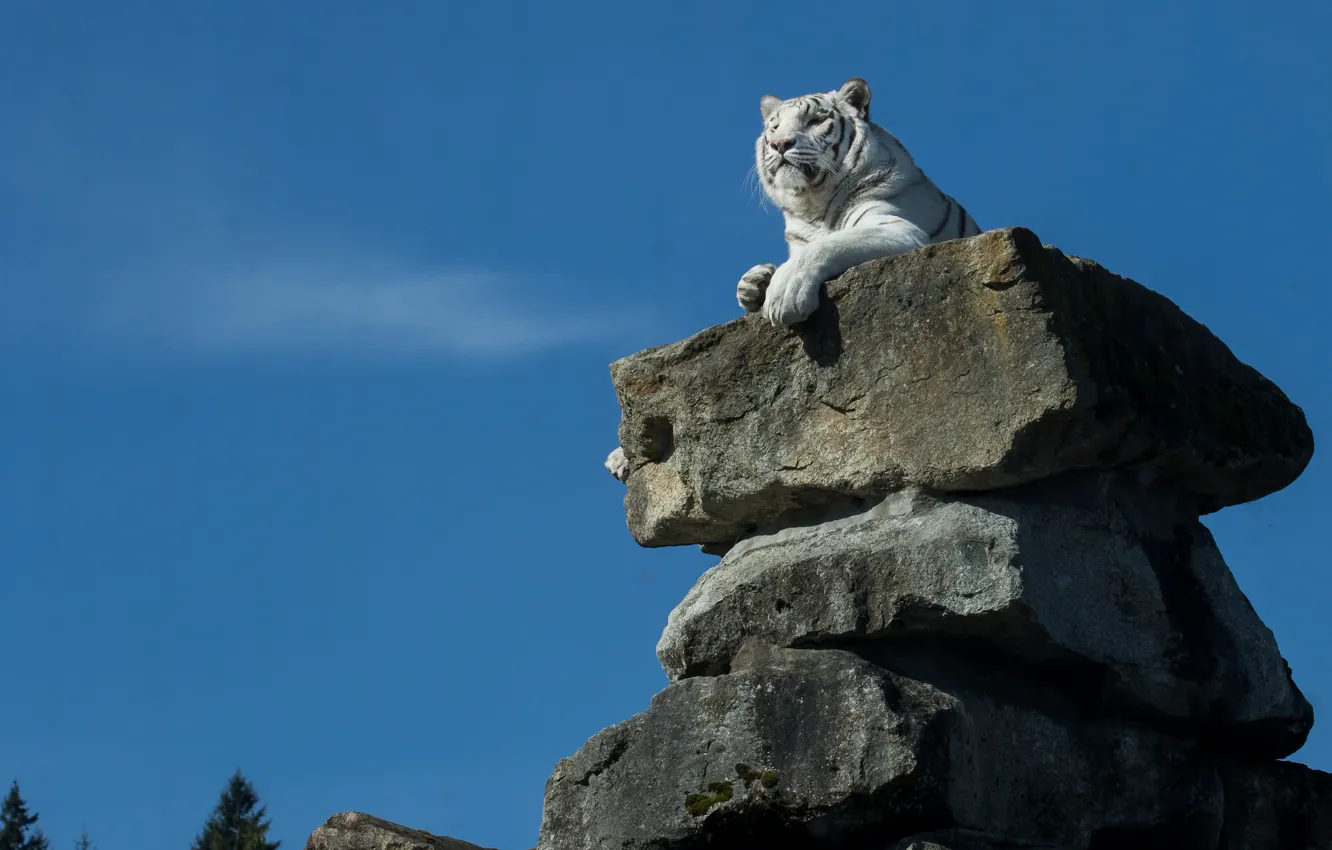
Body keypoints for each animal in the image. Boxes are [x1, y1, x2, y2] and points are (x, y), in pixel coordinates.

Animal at [739, 76, 981, 327]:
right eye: (775, 127)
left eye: (816, 120)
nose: (779, 143)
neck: (813, 206)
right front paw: (754, 281)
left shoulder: (900, 229)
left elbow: (827, 244)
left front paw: (785, 293)